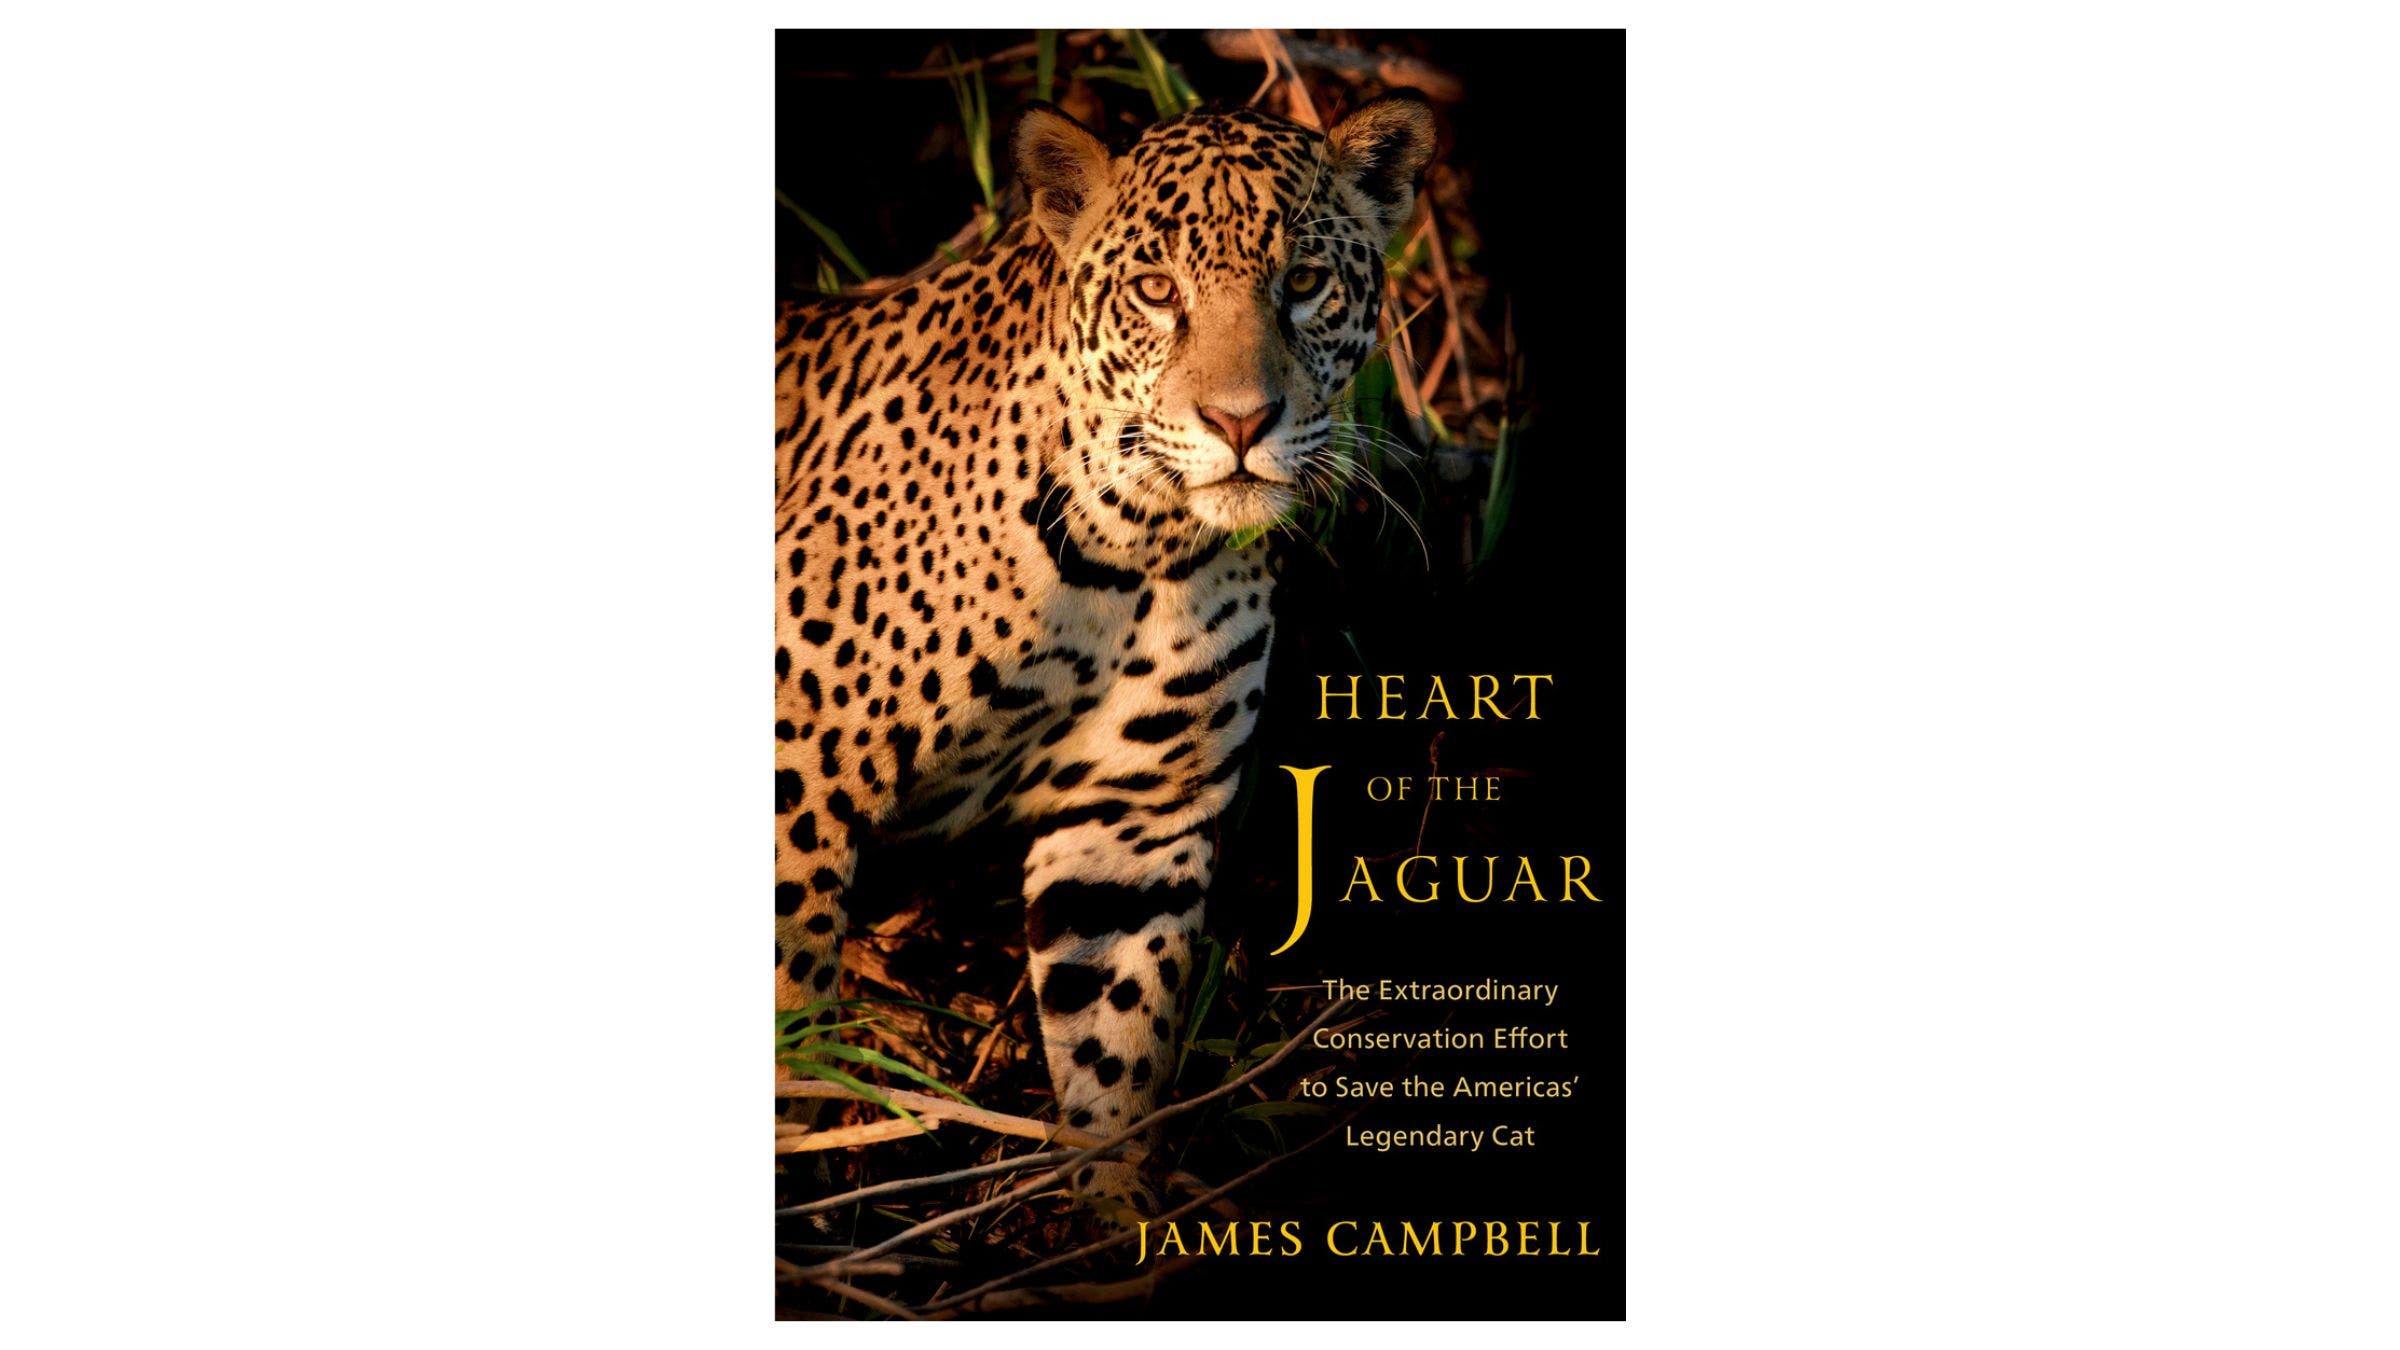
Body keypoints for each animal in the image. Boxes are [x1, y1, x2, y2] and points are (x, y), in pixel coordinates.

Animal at [774, 93, 1436, 1201]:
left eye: (1303, 283)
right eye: (1155, 291)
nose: (1241, 422)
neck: (1133, 552)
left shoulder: (1132, 824)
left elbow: (1117, 1041)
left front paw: (1118, 1211)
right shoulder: (798, 770)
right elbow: (789, 998)